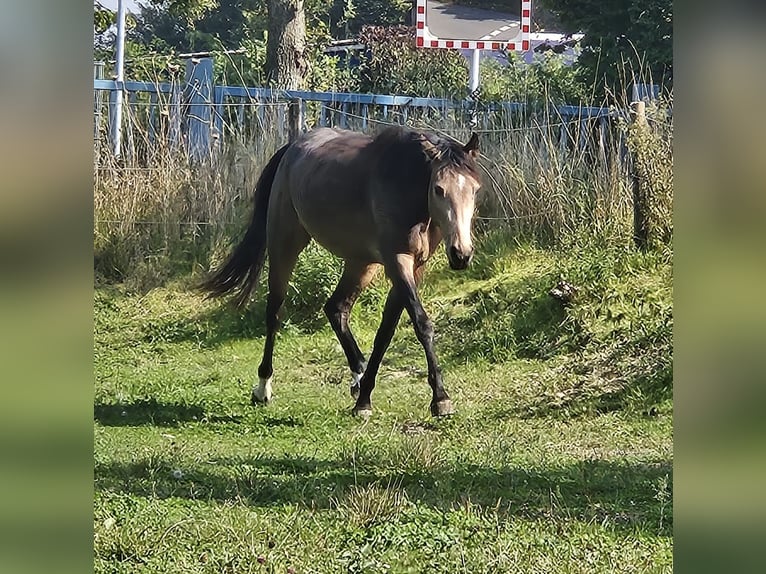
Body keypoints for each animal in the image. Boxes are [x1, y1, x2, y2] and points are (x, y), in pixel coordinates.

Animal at [202, 127, 480, 418]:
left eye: (474, 190)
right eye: (439, 189)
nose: (461, 254)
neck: (405, 185)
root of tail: (293, 148)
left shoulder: (413, 266)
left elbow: (386, 331)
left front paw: (365, 398)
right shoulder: (397, 261)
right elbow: (421, 323)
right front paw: (441, 398)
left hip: (361, 262)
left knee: (336, 308)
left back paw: (358, 379)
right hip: (284, 244)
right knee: (274, 313)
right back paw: (263, 387)